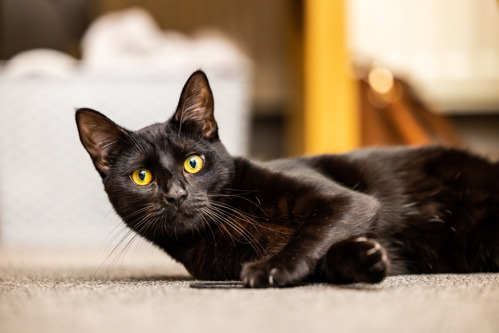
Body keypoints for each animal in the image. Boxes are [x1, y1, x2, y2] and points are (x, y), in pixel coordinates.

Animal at [76, 69, 499, 286]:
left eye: (193, 163)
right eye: (142, 176)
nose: (176, 194)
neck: (230, 225)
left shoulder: (348, 201)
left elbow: (314, 231)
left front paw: (273, 267)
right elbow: (327, 253)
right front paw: (365, 259)